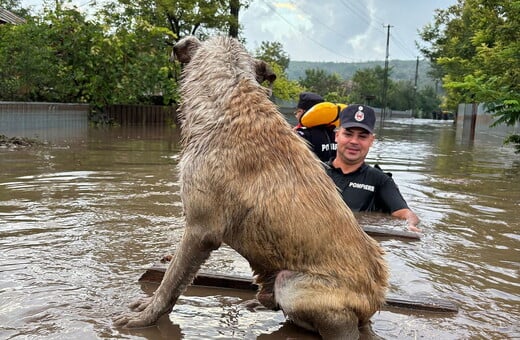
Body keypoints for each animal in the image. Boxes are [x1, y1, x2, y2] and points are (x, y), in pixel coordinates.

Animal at [115, 35, 390, 338]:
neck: (230, 99)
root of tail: (373, 303)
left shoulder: (200, 230)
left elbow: (171, 281)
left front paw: (145, 318)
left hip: (293, 285)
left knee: (341, 325)